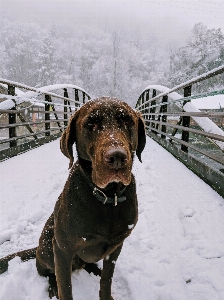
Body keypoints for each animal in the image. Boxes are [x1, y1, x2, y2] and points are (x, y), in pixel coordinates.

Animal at [0, 97, 146, 298]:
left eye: (127, 121)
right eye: (90, 123)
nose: (117, 157)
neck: (108, 197)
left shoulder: (116, 246)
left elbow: (107, 279)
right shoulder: (63, 249)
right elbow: (65, 287)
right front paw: (60, 288)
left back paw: (95, 270)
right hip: (48, 242)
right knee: (47, 272)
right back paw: (53, 286)